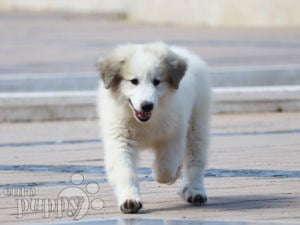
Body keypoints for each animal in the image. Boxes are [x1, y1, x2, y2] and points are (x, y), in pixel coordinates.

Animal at [97, 41, 210, 213]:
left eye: (156, 81)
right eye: (134, 81)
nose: (146, 105)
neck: (144, 122)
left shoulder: (173, 135)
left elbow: (165, 167)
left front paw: (163, 175)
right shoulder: (120, 139)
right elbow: (124, 170)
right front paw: (129, 200)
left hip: (197, 125)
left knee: (194, 160)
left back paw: (194, 191)